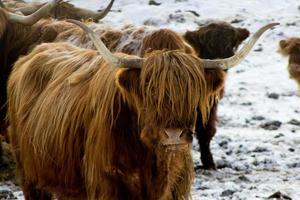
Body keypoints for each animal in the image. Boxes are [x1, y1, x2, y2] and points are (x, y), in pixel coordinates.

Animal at [7, 19, 274, 199]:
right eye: (150, 91)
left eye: (192, 91)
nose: (174, 135)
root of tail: (32, 55)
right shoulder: (105, 185)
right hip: (30, 175)